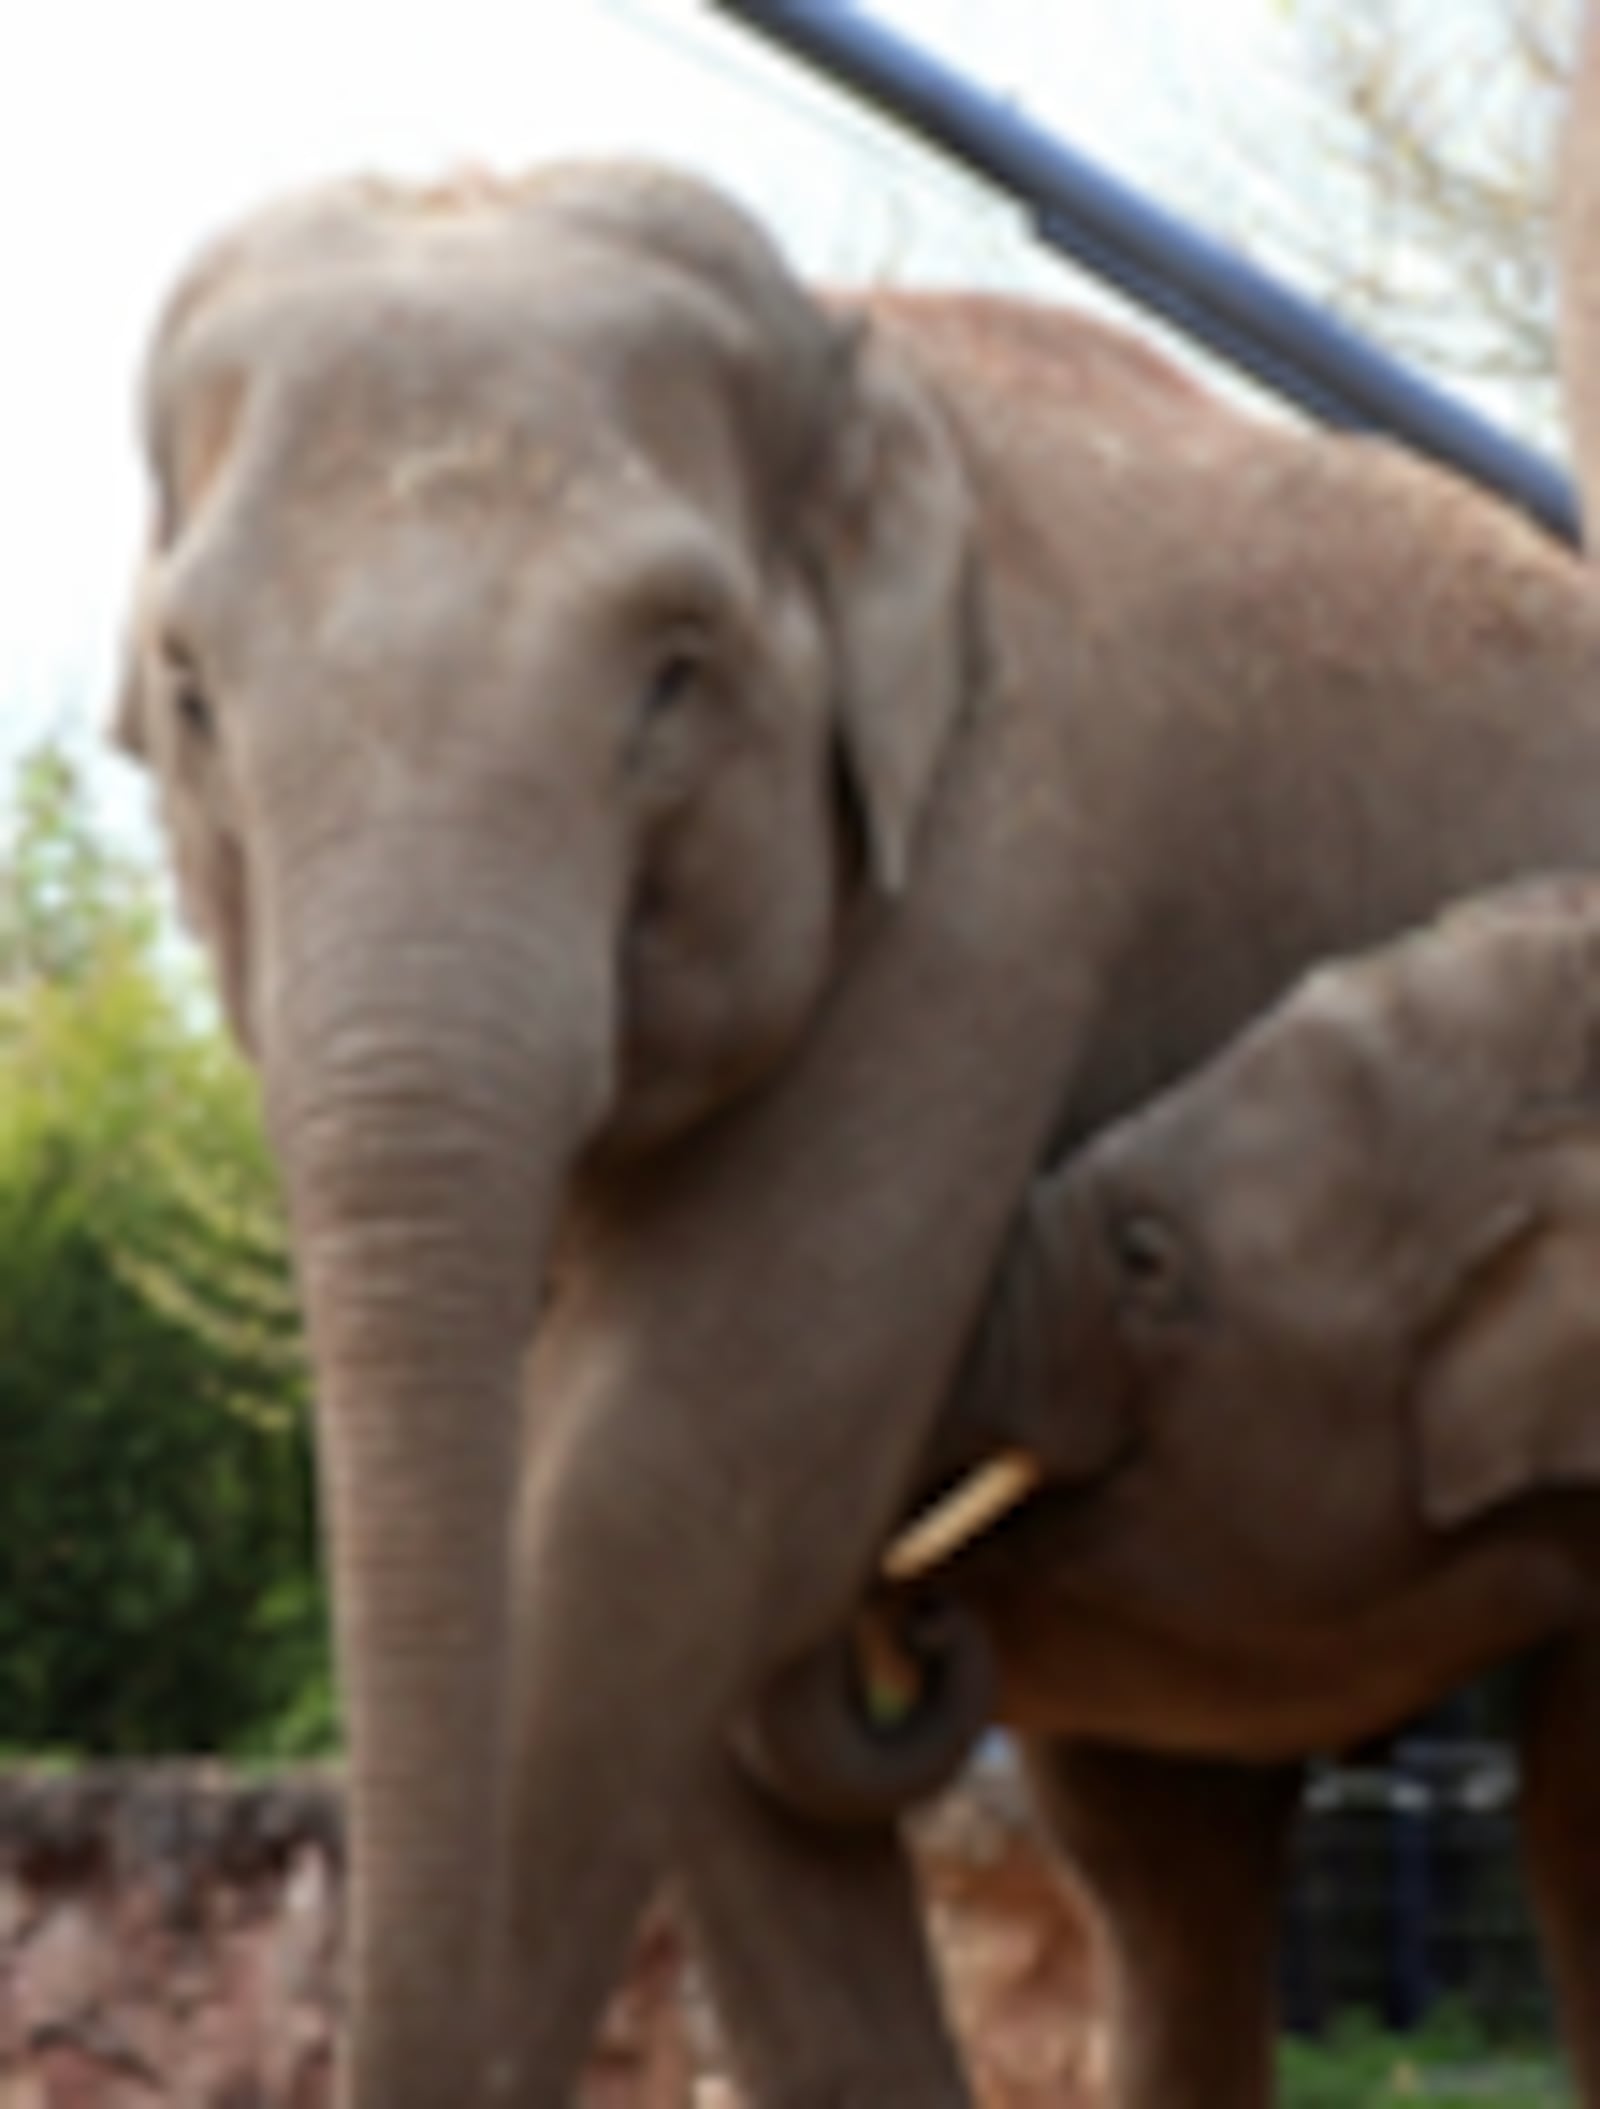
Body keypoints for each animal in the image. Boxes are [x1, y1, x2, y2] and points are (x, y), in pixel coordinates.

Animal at [119, 82, 1600, 2109]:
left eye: (675, 674)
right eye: (188, 695)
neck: (853, 350)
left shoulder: (995, 875)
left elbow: (674, 1472)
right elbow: (672, 1570)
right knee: (1166, 1845)